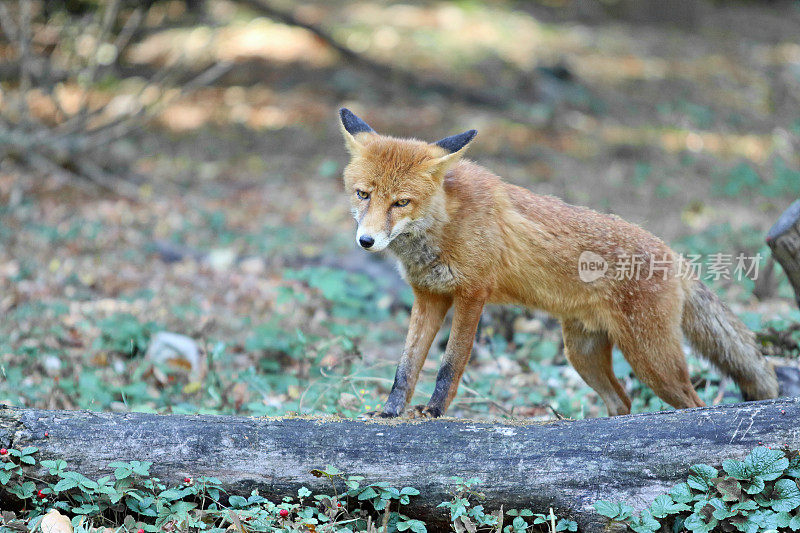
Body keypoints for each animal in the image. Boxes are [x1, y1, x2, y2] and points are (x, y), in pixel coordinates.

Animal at [336, 107, 776, 416]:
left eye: (400, 202)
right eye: (363, 194)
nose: (366, 241)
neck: (444, 225)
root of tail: (674, 255)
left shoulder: (472, 295)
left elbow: (450, 364)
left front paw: (433, 412)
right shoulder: (428, 295)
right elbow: (406, 366)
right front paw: (390, 413)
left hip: (653, 361)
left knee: (693, 406)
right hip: (581, 353)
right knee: (622, 401)